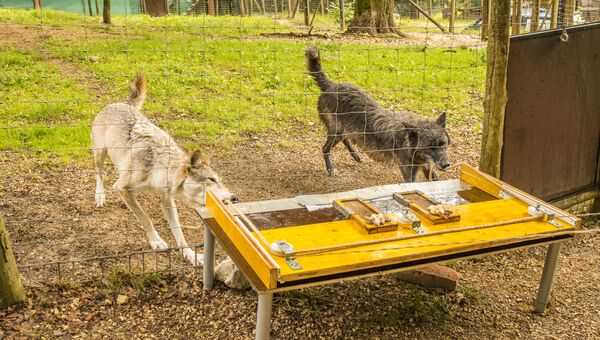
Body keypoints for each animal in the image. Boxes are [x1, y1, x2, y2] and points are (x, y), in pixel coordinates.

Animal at [91, 73, 237, 266]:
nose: (235, 198)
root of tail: (121, 103)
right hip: (100, 153)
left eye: (219, 180)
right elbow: (145, 217)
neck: (159, 167)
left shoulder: (167, 198)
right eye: (212, 179)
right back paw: (100, 196)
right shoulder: (122, 188)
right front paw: (156, 241)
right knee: (98, 173)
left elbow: (178, 230)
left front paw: (190, 254)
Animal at [304, 47, 450, 183]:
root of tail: (331, 85)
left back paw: (356, 156)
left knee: (346, 139)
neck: (407, 141)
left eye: (443, 144)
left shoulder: (426, 166)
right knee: (325, 148)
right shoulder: (408, 172)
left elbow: (435, 179)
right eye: (430, 147)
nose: (446, 164)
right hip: (336, 132)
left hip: (342, 132)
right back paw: (331, 169)